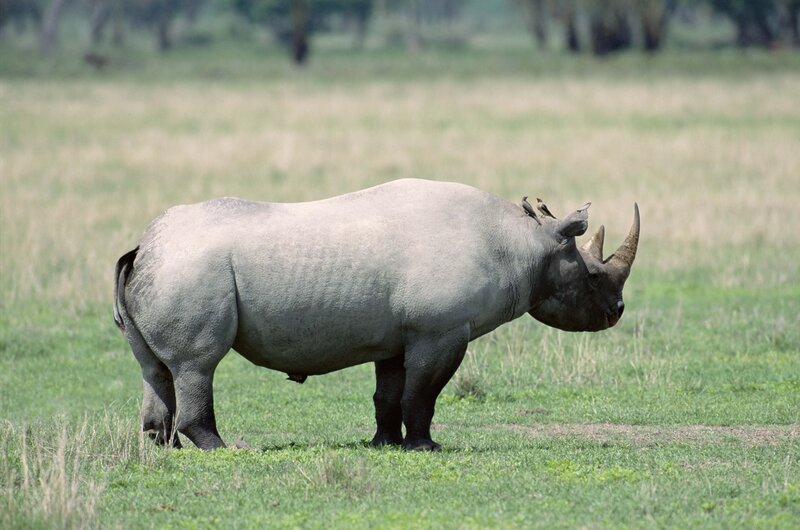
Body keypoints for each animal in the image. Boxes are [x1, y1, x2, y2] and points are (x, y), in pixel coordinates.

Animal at [114, 179, 639, 451]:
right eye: (594, 278)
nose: (617, 311)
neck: (526, 244)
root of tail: (143, 247)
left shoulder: (399, 334)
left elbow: (389, 393)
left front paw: (384, 444)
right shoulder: (441, 329)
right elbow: (423, 392)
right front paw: (425, 447)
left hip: (165, 267)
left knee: (155, 368)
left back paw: (161, 447)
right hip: (190, 269)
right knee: (198, 363)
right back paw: (224, 450)